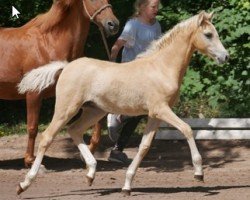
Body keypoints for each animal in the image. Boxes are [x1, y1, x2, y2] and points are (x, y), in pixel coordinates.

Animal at [0, 0, 118, 167]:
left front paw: (90, 149)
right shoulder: (34, 94)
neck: (49, 44)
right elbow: (32, 127)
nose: (113, 24)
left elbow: (97, 120)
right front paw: (30, 160)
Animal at [17, 11, 229, 195]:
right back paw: (24, 184)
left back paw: (91, 173)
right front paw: (199, 173)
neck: (161, 67)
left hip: (94, 111)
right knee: (47, 137)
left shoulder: (155, 115)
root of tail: (66, 66)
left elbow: (144, 147)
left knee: (74, 130)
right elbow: (187, 129)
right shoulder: (161, 109)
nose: (225, 57)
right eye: (208, 34)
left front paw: (127, 185)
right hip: (66, 108)